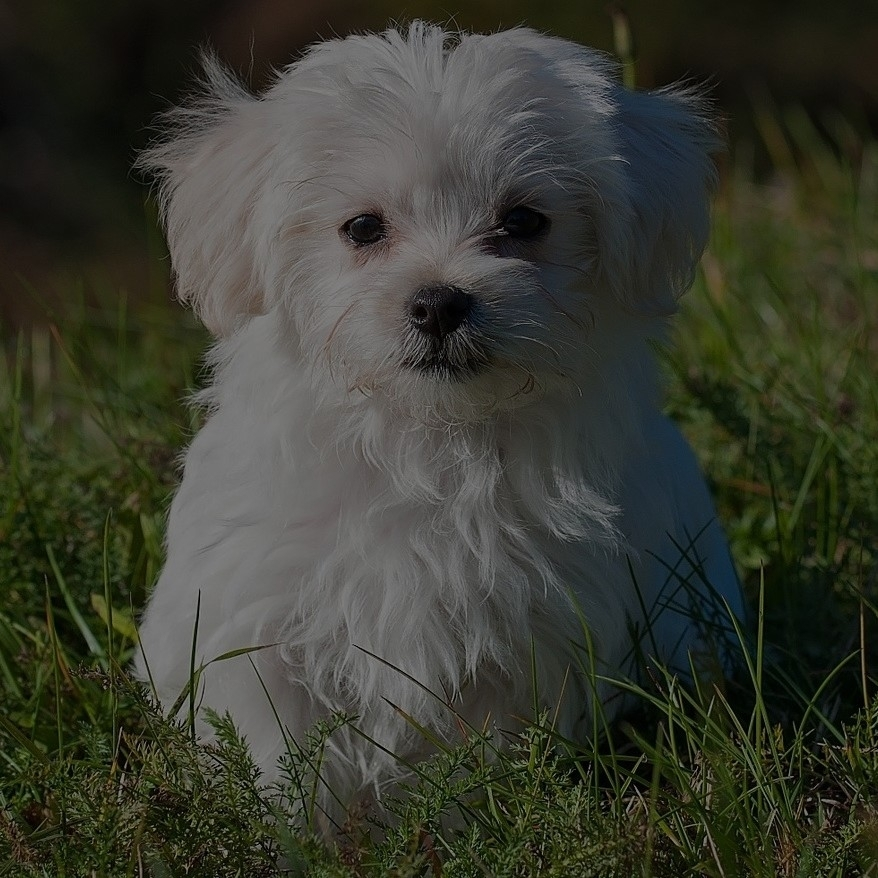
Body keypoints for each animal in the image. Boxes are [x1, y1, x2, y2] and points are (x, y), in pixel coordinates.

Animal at [134, 22, 744, 824]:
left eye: (524, 221)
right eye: (362, 228)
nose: (438, 302)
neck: (429, 441)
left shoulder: (527, 642)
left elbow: (475, 762)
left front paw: (460, 828)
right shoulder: (259, 625)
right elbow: (281, 756)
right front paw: (294, 834)